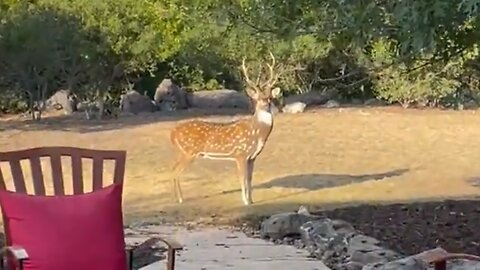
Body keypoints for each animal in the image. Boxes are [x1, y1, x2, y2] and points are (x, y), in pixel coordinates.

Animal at [169, 52, 284, 205]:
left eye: (270, 98)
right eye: (258, 98)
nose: (266, 105)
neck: (257, 133)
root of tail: (172, 133)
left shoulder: (252, 157)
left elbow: (250, 179)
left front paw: (251, 200)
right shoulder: (240, 154)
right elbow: (242, 178)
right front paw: (245, 201)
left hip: (183, 152)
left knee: (173, 168)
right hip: (189, 151)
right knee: (175, 171)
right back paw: (181, 199)